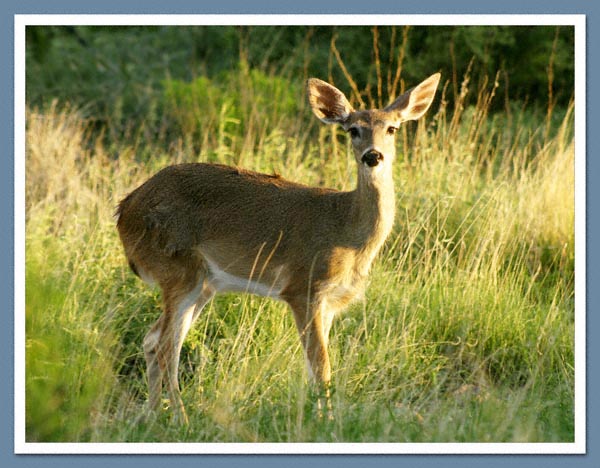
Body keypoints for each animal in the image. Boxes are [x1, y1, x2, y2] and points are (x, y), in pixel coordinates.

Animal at [116, 73, 440, 424]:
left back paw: (152, 415)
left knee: (153, 340)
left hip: (203, 284)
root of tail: (124, 211)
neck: (348, 230)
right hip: (177, 269)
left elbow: (315, 367)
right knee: (165, 347)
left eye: (392, 128)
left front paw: (319, 416)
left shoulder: (329, 303)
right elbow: (322, 367)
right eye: (353, 129)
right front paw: (326, 421)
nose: (372, 156)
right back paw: (181, 419)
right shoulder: (303, 287)